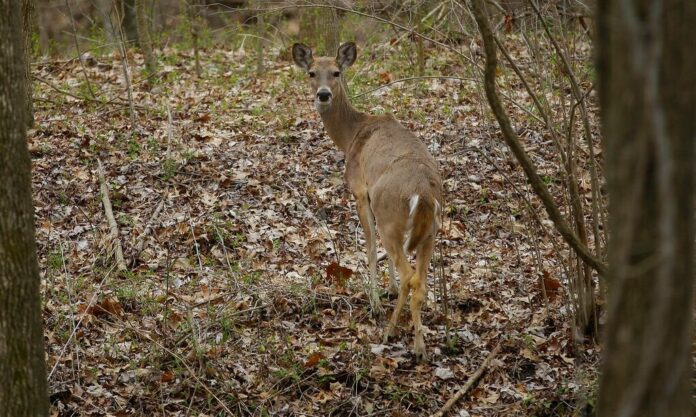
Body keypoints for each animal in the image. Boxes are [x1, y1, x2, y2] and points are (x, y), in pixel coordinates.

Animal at [292, 42, 443, 361]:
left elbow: (370, 247)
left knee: (409, 274)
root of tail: (424, 193)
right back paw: (420, 345)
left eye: (336, 72)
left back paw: (391, 331)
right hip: (431, 230)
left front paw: (374, 300)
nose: (323, 94)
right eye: (311, 73)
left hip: (390, 217)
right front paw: (388, 289)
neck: (351, 135)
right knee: (420, 281)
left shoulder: (361, 190)